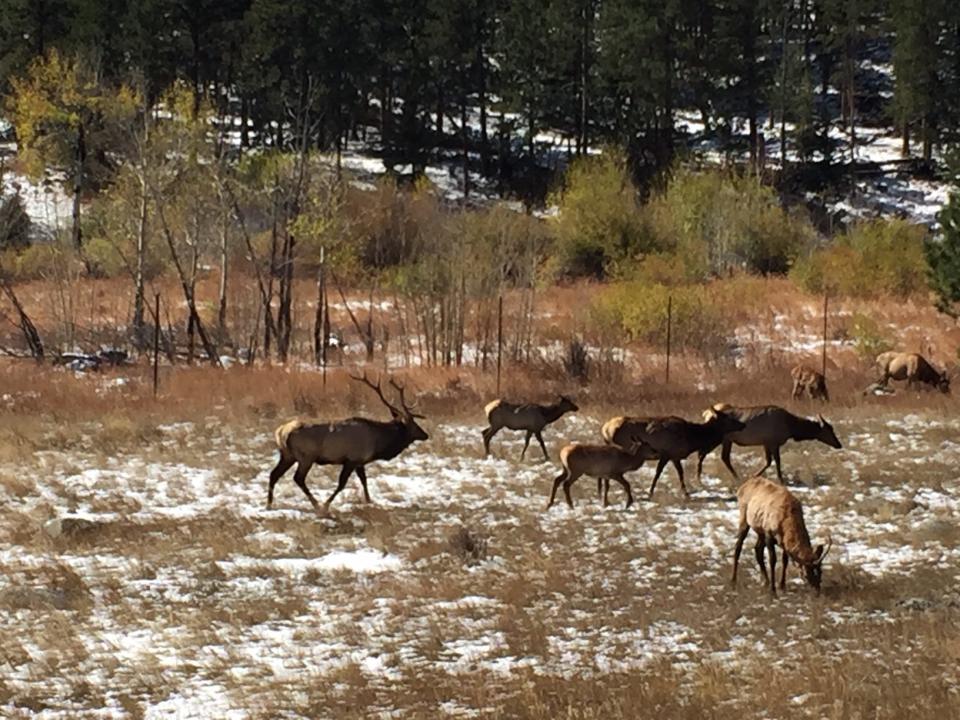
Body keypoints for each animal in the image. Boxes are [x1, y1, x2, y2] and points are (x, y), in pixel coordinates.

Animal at [262, 372, 428, 512]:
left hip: (287, 455)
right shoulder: (351, 459)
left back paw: (269, 505)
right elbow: (342, 484)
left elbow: (364, 480)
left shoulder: (360, 461)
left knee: (274, 474)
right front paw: (326, 504)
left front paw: (369, 501)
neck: (378, 443)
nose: (425, 434)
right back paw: (316, 505)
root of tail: (281, 432)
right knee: (298, 478)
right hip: (306, 457)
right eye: (414, 424)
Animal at [600, 410, 752, 500]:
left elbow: (680, 473)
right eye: (728, 419)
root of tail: (605, 429)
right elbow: (659, 473)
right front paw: (651, 492)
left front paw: (685, 492)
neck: (692, 439)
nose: (743, 424)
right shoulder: (668, 453)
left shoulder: (675, 456)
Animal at [696, 404, 840, 484]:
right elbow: (776, 461)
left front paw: (754, 476)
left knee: (722, 457)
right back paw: (699, 477)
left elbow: (768, 461)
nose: (839, 444)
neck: (791, 427)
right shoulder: (773, 442)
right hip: (721, 439)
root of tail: (705, 413)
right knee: (705, 454)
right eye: (829, 430)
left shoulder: (766, 443)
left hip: (727, 440)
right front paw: (780, 479)